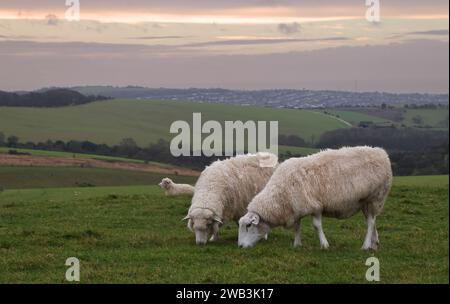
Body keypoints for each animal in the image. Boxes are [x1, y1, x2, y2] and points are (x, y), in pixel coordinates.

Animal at [237, 146, 392, 251]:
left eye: (249, 225)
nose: (240, 246)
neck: (280, 197)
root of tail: (382, 153)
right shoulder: (296, 207)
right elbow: (297, 227)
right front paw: (297, 244)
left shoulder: (315, 206)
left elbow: (317, 225)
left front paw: (324, 245)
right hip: (366, 202)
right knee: (372, 220)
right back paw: (374, 244)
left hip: (375, 197)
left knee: (370, 222)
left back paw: (365, 246)